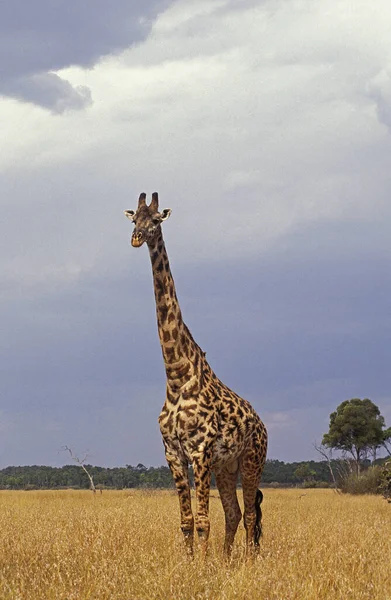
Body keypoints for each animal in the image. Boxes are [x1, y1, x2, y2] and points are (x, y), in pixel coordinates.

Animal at [124, 192, 268, 556]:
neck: (176, 377)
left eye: (156, 220)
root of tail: (262, 424)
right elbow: (187, 521)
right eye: (134, 219)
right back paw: (228, 560)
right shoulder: (173, 453)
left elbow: (203, 521)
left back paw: (247, 561)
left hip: (252, 460)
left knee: (249, 514)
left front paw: (202, 566)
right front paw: (192, 563)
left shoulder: (200, 450)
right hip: (226, 467)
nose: (136, 238)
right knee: (233, 512)